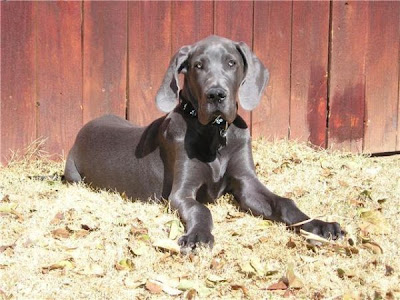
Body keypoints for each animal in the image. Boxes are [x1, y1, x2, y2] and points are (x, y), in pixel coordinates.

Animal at [64, 35, 342, 251]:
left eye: (231, 63)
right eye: (198, 65)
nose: (216, 94)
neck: (215, 132)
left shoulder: (247, 183)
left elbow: (284, 202)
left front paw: (320, 226)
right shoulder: (181, 193)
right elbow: (201, 210)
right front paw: (198, 236)